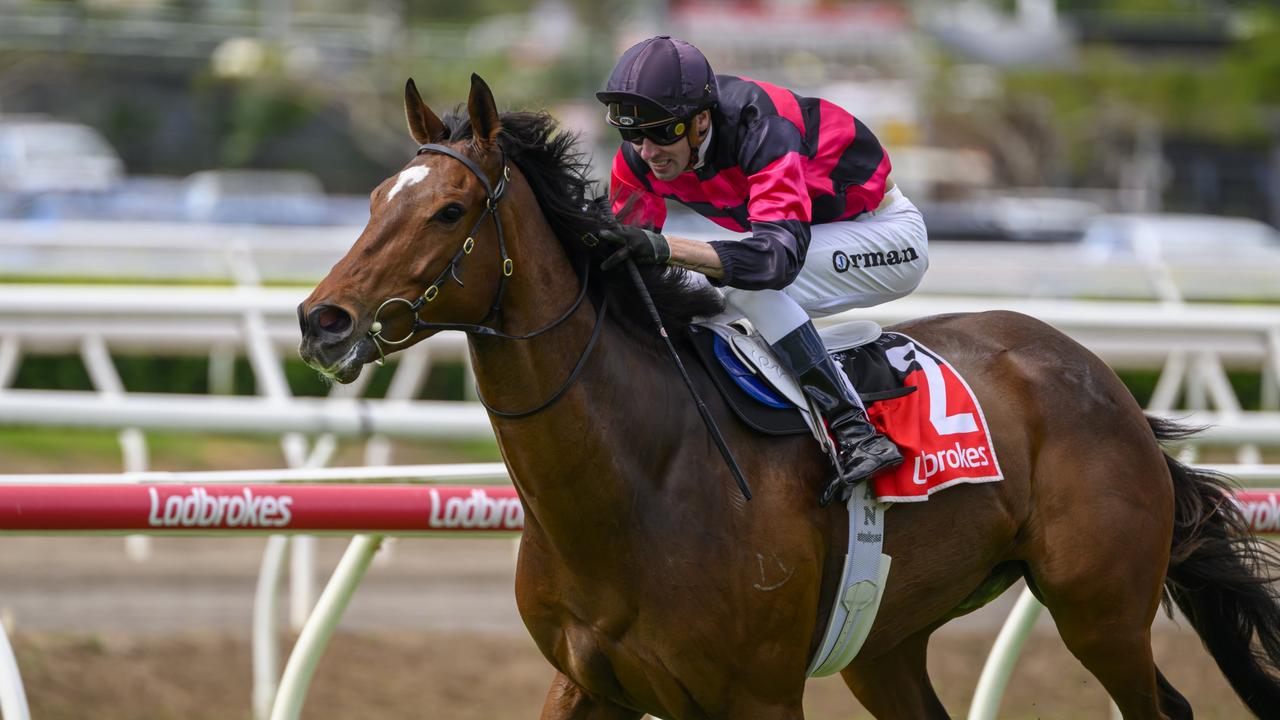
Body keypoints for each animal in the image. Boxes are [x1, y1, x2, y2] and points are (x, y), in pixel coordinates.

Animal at [296, 75, 1280, 712]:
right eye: (376, 197)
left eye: (448, 211)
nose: (322, 321)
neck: (641, 478)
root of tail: (1100, 376)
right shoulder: (584, 684)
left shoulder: (755, 695)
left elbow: (771, 249)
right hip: (886, 640)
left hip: (1098, 607)